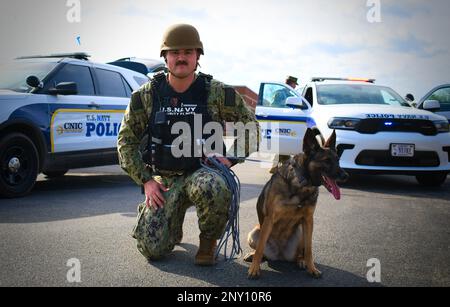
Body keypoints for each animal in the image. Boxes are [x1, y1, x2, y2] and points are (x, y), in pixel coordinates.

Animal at [246, 129, 348, 280]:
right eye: (327, 161)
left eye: (338, 160)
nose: (346, 176)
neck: (301, 184)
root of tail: (280, 255)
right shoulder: (269, 220)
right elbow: (259, 249)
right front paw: (254, 269)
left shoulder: (308, 220)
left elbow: (309, 250)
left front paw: (312, 268)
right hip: (255, 232)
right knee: (261, 250)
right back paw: (252, 256)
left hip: (300, 232)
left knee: (301, 253)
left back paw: (301, 261)